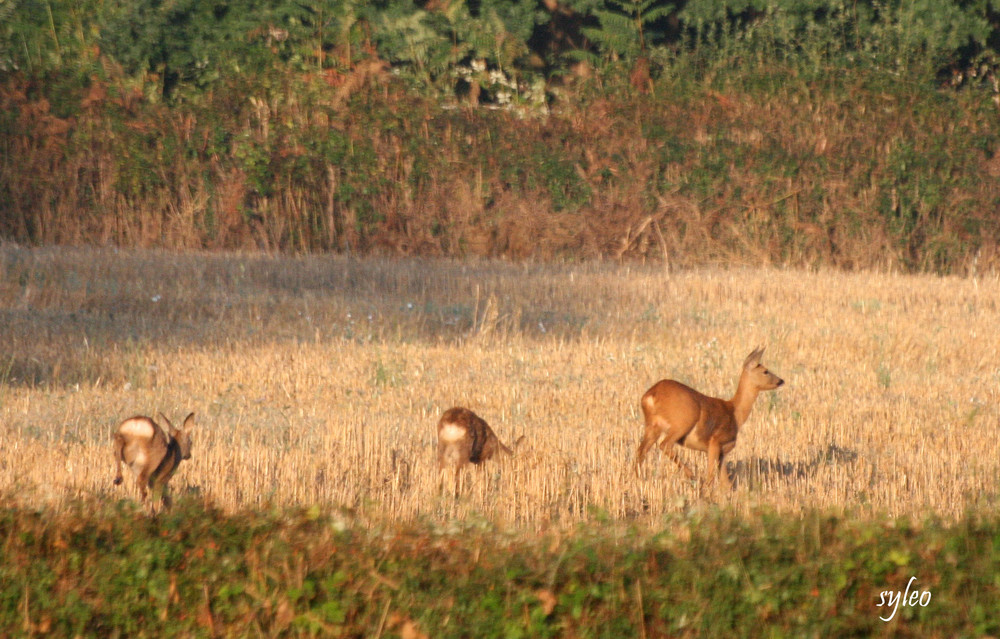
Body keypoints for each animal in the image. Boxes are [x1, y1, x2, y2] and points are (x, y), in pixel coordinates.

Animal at [636, 344, 784, 490]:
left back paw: (635, 480)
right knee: (664, 445)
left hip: (652, 426)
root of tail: (650, 396)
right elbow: (711, 477)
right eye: (765, 371)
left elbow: (726, 484)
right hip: (682, 422)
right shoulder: (715, 442)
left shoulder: (723, 452)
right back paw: (692, 475)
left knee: (640, 452)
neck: (735, 413)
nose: (781, 380)